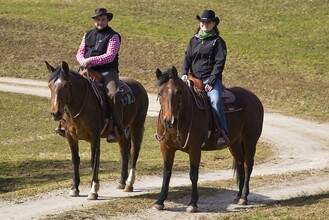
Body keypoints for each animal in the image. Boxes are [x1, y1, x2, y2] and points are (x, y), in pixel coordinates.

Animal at [45, 61, 148, 200]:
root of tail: (139, 85)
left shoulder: (95, 137)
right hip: (121, 132)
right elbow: (75, 160)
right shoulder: (70, 137)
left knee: (134, 152)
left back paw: (129, 184)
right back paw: (122, 182)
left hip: (136, 125)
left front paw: (93, 190)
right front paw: (74, 188)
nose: (55, 113)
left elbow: (94, 160)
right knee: (124, 150)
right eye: (50, 85)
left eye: (66, 85)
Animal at [152, 66, 262, 211]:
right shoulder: (166, 147)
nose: (169, 121)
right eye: (160, 93)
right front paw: (160, 201)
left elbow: (193, 175)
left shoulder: (194, 149)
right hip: (235, 143)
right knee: (239, 164)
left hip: (250, 142)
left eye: (178, 92)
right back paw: (238, 196)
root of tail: (254, 98)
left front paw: (192, 204)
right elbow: (167, 173)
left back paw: (244, 197)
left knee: (247, 165)